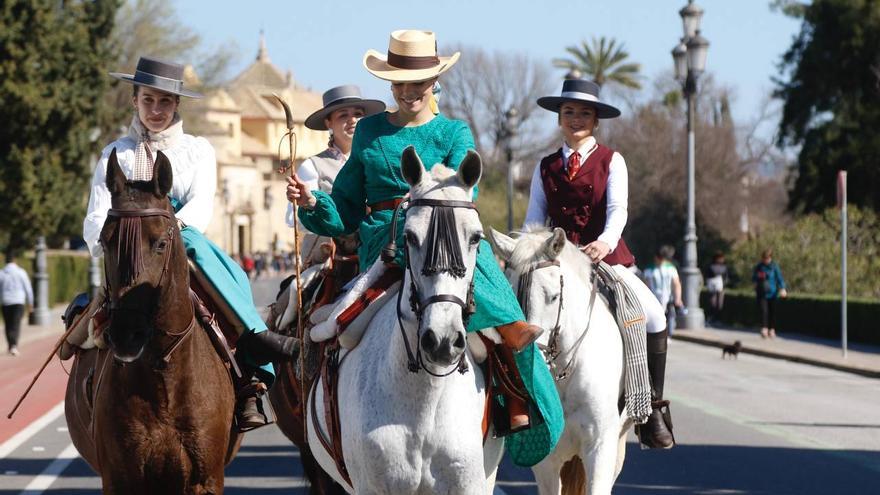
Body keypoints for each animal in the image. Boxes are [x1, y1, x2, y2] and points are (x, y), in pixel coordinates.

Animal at [64, 151, 241, 495]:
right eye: (105, 242)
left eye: (160, 243)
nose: (126, 334)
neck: (164, 378)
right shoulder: (121, 479)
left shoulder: (206, 480)